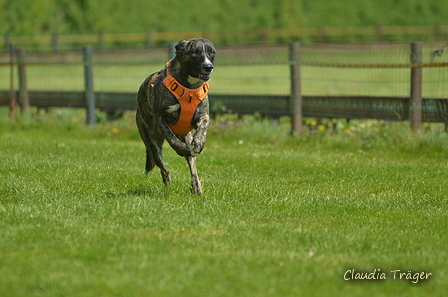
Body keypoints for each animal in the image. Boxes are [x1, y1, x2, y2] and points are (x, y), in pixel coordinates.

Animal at [135, 37, 215, 194]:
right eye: (195, 52)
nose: (208, 67)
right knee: (162, 165)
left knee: (192, 165)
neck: (189, 85)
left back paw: (196, 187)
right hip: (150, 139)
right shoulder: (160, 116)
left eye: (211, 52)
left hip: (185, 136)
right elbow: (171, 138)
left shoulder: (203, 115)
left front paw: (199, 143)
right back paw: (168, 182)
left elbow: (202, 129)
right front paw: (180, 148)